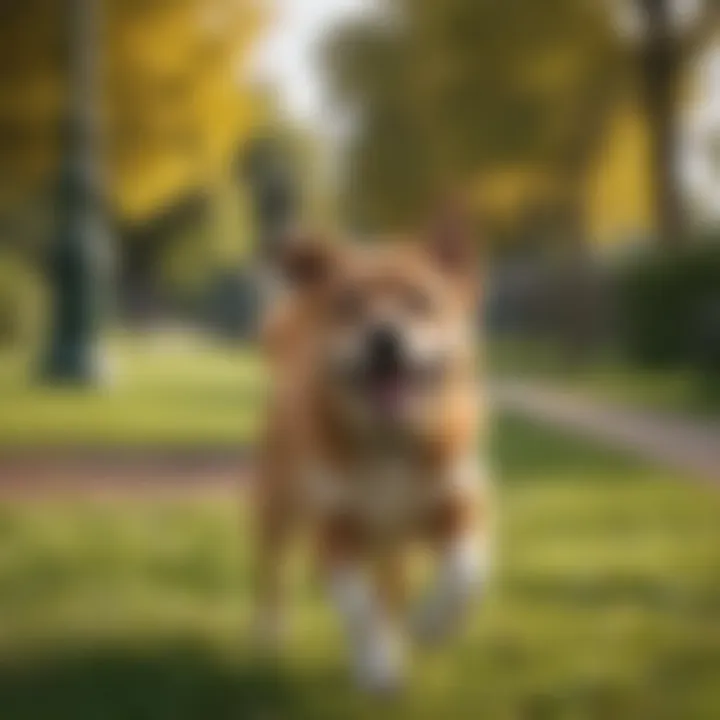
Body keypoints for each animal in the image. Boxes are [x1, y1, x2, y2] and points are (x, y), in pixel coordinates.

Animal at [250, 207, 492, 692]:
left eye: (420, 301)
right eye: (348, 305)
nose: (384, 336)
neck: (389, 444)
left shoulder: (458, 502)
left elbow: (467, 568)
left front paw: (430, 625)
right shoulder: (336, 528)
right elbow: (359, 608)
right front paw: (378, 668)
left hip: (392, 544)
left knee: (392, 587)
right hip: (276, 508)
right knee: (272, 576)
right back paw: (269, 641)